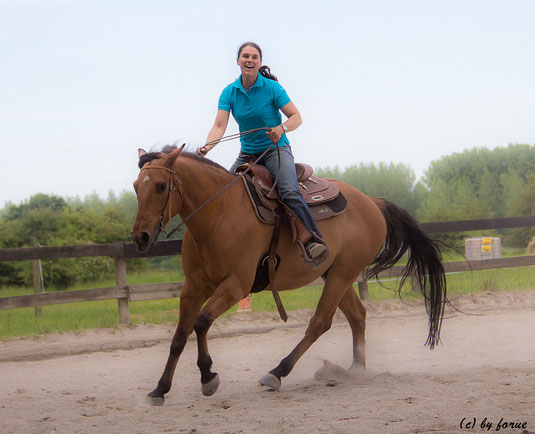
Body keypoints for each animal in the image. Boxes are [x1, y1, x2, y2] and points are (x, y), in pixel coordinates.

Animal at [132, 146, 446, 404]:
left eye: (161, 185)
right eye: (136, 186)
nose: (140, 237)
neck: (218, 214)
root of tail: (371, 201)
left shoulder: (236, 286)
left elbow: (201, 322)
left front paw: (208, 377)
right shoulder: (193, 287)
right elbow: (179, 336)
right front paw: (160, 389)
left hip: (342, 274)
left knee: (319, 323)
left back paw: (278, 372)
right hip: (336, 274)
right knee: (357, 316)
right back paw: (353, 371)